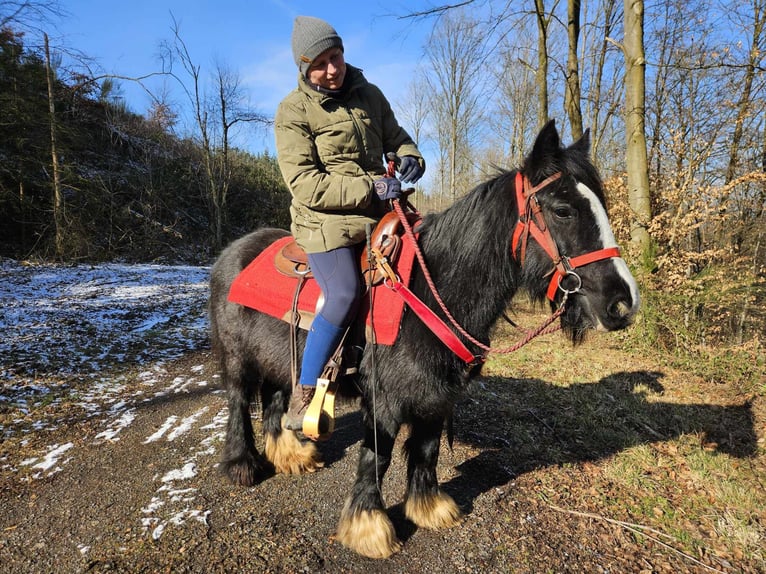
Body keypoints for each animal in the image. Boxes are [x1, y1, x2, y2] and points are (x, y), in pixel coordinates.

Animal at [208, 121, 640, 560]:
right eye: (562, 210)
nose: (623, 303)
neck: (428, 292)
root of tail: (232, 252)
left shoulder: (438, 396)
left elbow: (426, 450)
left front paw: (428, 507)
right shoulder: (384, 401)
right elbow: (376, 458)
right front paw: (368, 527)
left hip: (278, 359)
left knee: (276, 399)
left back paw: (291, 454)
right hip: (237, 359)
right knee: (239, 403)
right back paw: (243, 465)